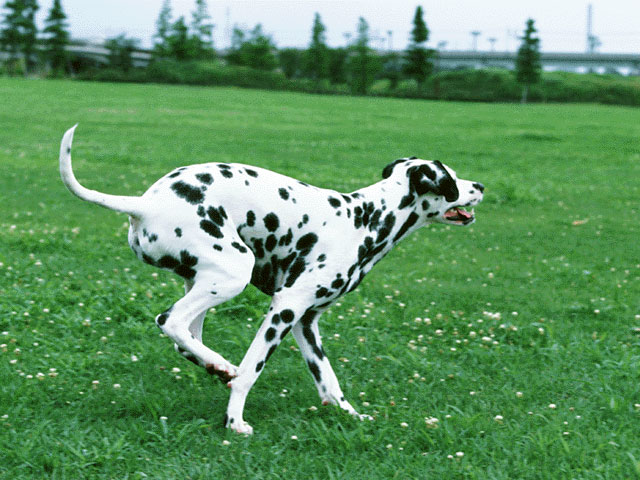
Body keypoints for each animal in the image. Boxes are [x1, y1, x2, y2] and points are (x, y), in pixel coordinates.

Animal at [60, 124, 482, 436]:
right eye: (452, 177)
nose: (480, 187)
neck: (365, 219)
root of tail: (145, 203)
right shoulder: (285, 309)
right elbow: (251, 372)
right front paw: (234, 422)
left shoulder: (306, 323)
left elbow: (329, 382)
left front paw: (351, 416)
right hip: (233, 274)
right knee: (172, 323)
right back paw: (223, 368)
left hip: (205, 282)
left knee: (188, 339)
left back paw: (217, 366)